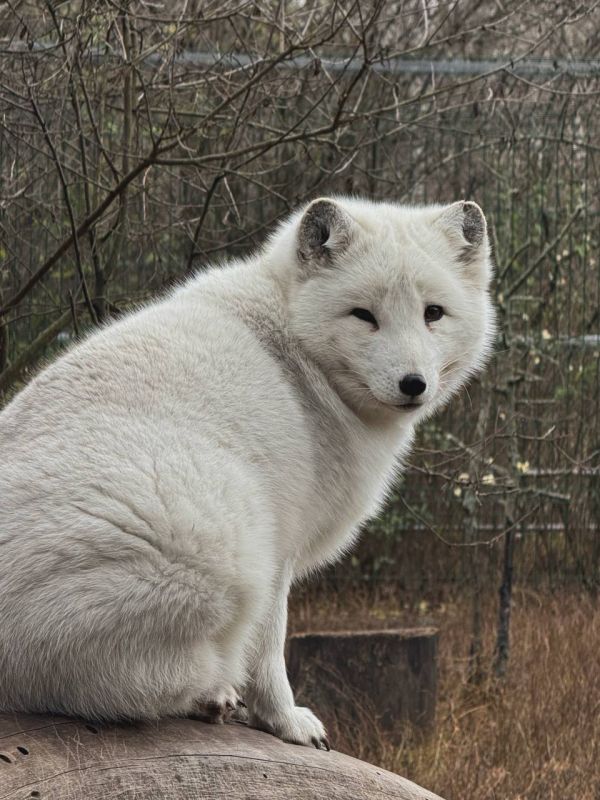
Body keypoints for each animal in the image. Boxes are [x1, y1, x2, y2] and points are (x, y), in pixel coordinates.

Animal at [0, 197, 494, 748]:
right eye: (364, 315)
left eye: (433, 313)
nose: (413, 383)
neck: (297, 353)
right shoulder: (279, 548)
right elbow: (269, 649)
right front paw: (286, 721)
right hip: (225, 547)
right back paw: (207, 692)